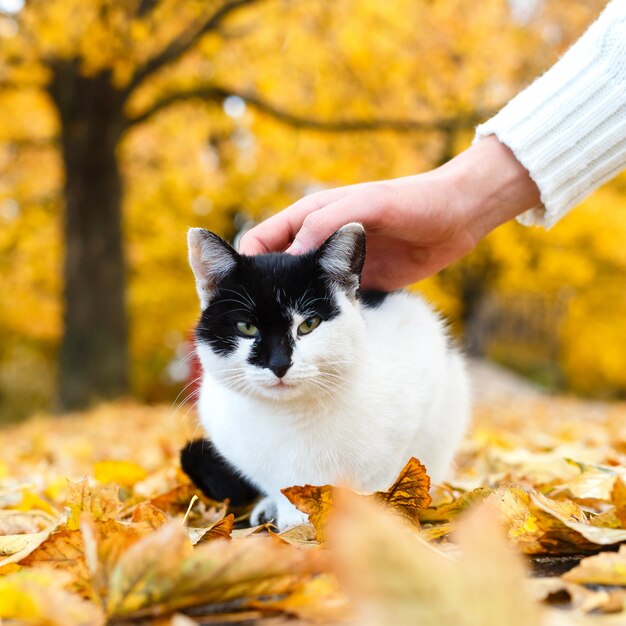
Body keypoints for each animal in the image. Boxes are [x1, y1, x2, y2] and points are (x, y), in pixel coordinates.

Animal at [183, 223, 470, 528]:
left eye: (309, 324)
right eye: (246, 328)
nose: (279, 364)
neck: (290, 415)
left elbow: (383, 479)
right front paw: (291, 517)